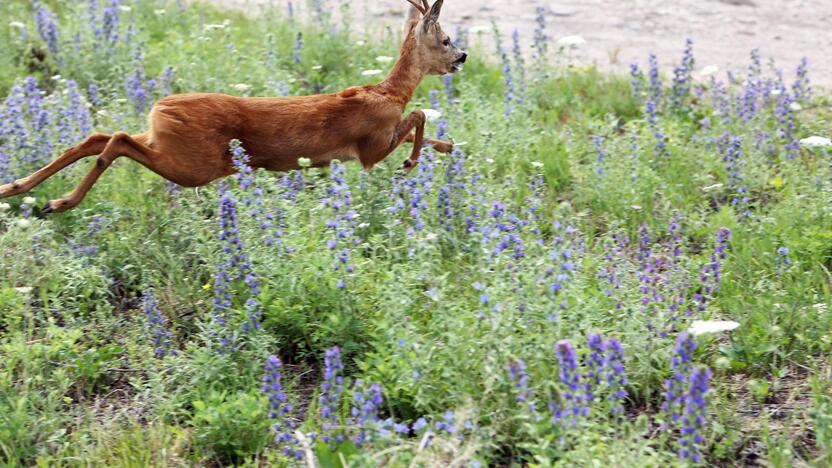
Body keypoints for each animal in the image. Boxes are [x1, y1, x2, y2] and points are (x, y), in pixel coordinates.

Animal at [0, 0, 468, 212]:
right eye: (445, 39)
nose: (463, 57)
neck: (388, 92)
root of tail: (159, 107)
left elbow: (427, 128)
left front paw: (449, 148)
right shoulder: (370, 147)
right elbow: (418, 117)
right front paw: (409, 164)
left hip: (169, 145)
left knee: (99, 135)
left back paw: (17, 188)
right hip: (196, 164)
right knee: (114, 140)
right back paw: (60, 203)